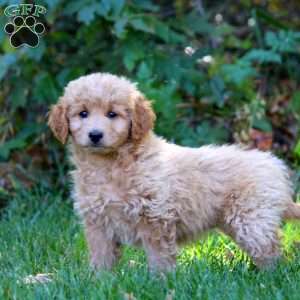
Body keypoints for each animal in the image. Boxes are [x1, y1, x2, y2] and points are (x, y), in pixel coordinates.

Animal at [48, 73, 298, 272]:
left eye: (112, 114)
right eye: (83, 113)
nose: (95, 135)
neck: (110, 165)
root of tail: (274, 165)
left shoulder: (155, 215)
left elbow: (159, 255)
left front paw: (161, 281)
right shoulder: (98, 222)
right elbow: (102, 256)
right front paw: (99, 280)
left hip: (251, 219)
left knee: (271, 250)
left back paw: (271, 277)